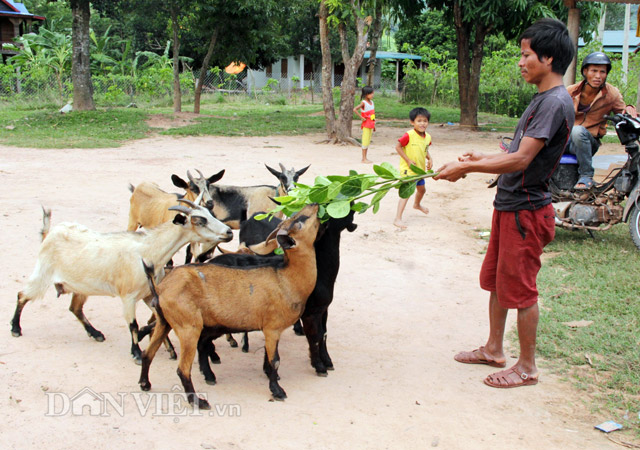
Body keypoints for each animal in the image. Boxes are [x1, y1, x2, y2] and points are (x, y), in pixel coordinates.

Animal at [140, 204, 320, 404]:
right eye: (300, 220)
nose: (315, 205)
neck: (286, 278)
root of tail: (160, 288)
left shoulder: (272, 330)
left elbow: (270, 359)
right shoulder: (272, 328)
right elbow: (275, 361)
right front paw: (277, 391)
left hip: (166, 322)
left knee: (148, 353)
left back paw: (145, 383)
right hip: (188, 327)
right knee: (183, 368)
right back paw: (198, 401)